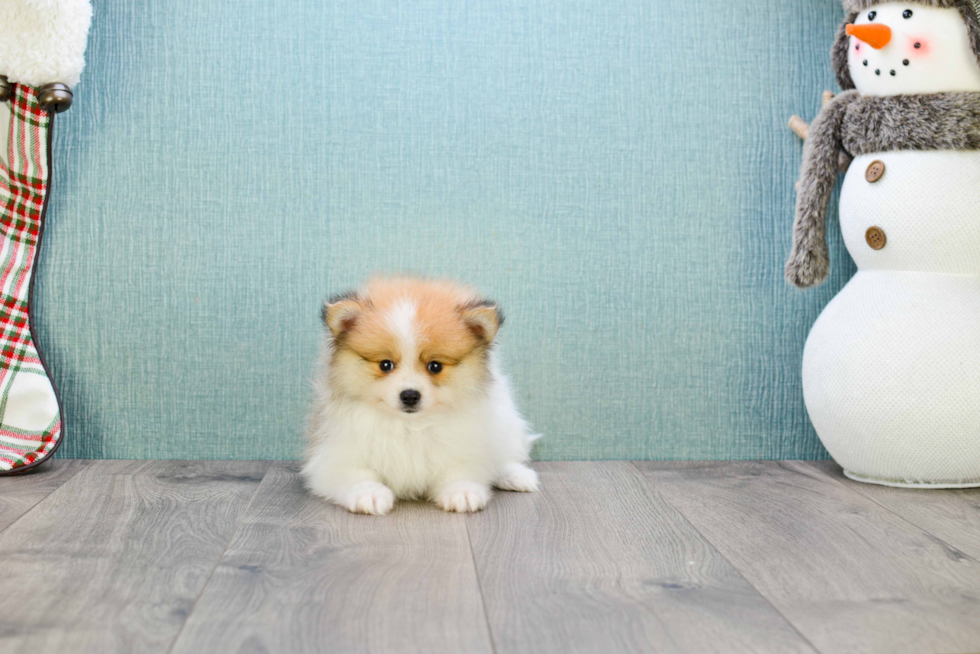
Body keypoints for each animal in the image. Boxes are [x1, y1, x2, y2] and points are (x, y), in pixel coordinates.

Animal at [302, 276, 540, 516]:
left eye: (435, 366)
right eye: (385, 364)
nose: (409, 395)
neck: (410, 426)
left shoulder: (467, 447)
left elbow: (460, 471)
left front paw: (462, 492)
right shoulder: (335, 455)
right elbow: (355, 474)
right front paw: (369, 494)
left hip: (505, 422)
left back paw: (517, 476)